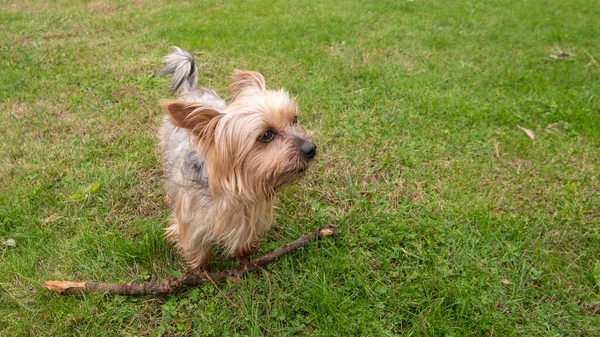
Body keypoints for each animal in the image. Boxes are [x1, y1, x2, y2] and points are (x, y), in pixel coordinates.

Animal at [157, 47, 316, 270]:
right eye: (266, 135)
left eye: (294, 119)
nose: (311, 148)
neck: (234, 191)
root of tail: (192, 90)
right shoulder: (191, 223)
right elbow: (197, 250)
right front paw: (200, 271)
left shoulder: (251, 216)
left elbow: (244, 242)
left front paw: (244, 260)